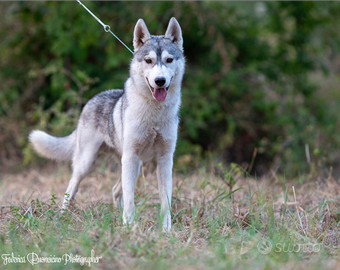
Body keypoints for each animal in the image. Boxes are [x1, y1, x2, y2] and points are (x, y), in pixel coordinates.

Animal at [28, 17, 183, 230]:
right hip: (89, 163)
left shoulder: (165, 159)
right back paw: (62, 215)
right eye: (149, 61)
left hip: (134, 164)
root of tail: (91, 100)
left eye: (169, 60)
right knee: (72, 188)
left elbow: (165, 200)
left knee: (116, 190)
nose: (160, 81)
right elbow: (130, 199)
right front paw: (129, 228)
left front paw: (166, 230)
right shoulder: (132, 157)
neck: (154, 115)